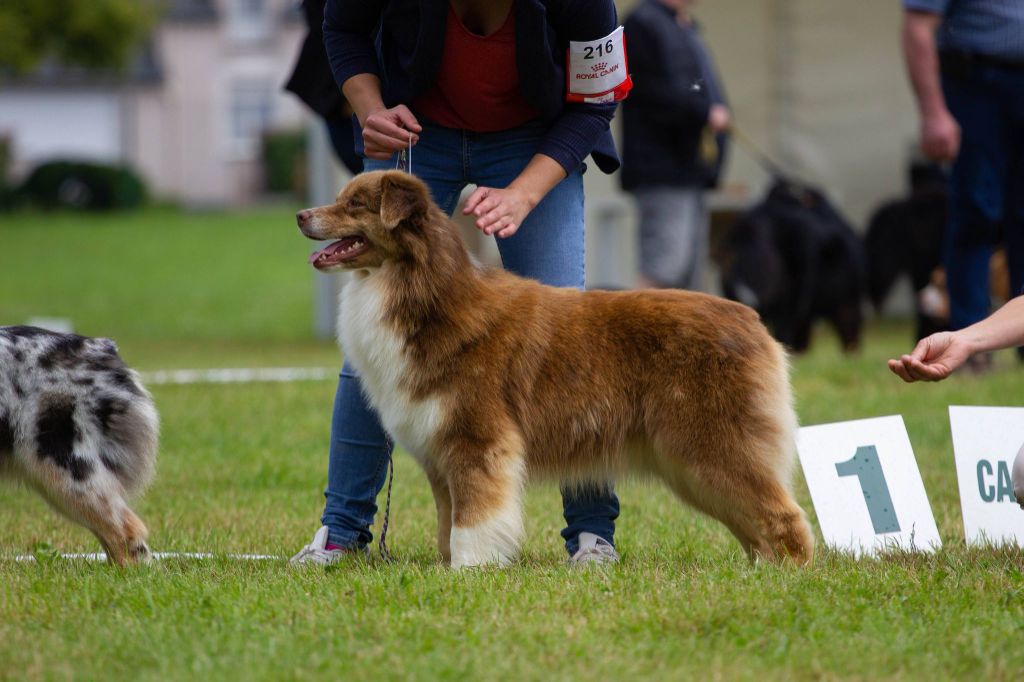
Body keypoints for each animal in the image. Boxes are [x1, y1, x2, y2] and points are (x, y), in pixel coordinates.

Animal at [295, 170, 813, 568]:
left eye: (355, 204)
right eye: (340, 197)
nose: (301, 216)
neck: (421, 291)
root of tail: (753, 321)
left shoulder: (477, 442)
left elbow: (471, 521)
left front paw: (470, 571)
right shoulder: (440, 455)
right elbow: (447, 524)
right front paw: (448, 568)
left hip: (712, 447)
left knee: (783, 515)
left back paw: (789, 576)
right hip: (691, 465)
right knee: (751, 521)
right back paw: (758, 570)